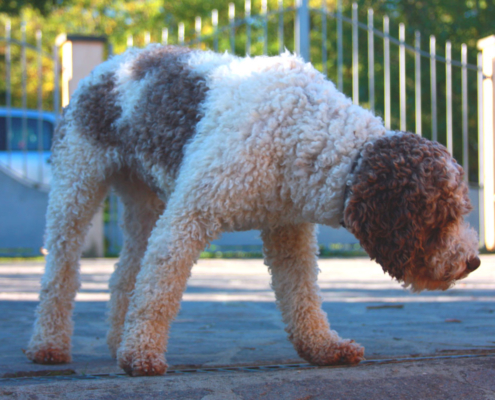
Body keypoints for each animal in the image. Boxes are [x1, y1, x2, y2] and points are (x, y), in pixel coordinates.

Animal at [26, 45, 480, 376]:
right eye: (442, 217)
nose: (473, 262)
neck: (304, 130)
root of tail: (108, 66)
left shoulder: (288, 230)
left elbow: (302, 295)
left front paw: (323, 347)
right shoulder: (188, 217)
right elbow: (158, 292)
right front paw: (141, 356)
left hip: (145, 202)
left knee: (125, 275)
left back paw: (115, 339)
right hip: (77, 185)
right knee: (61, 272)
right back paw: (49, 345)